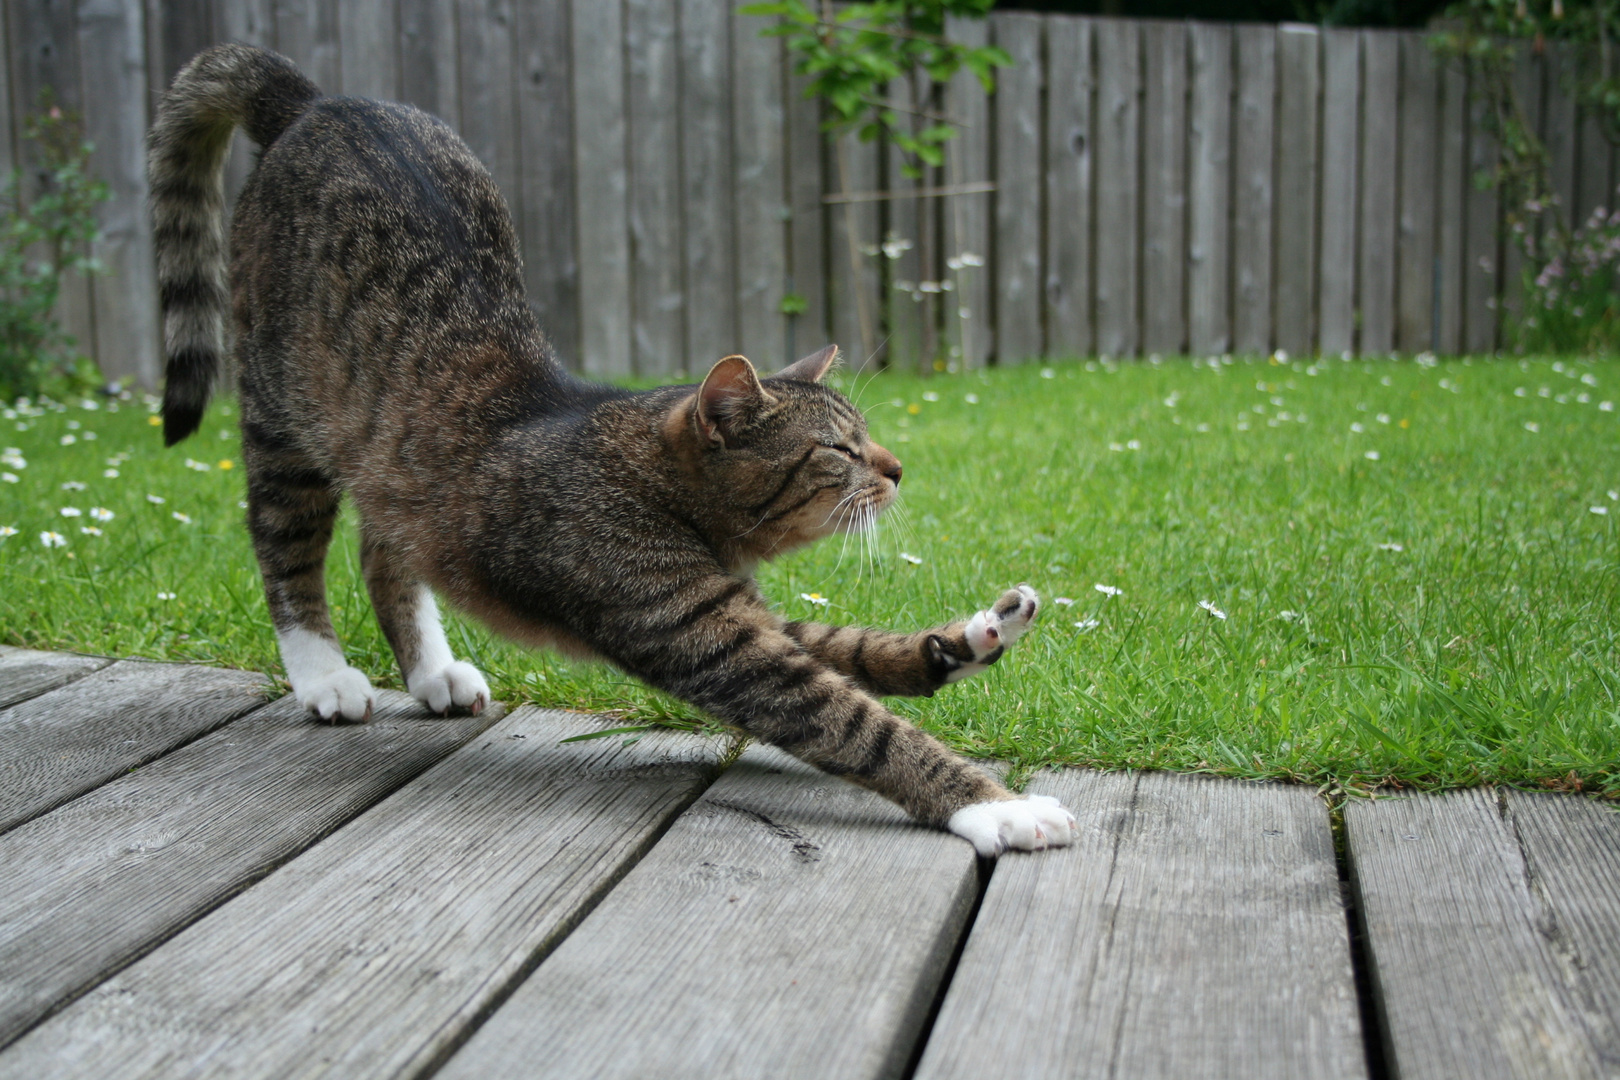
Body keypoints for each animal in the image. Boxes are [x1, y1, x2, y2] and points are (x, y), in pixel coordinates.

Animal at [149, 42, 1075, 854]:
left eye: (868, 440)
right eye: (840, 452)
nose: (897, 468)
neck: (660, 490)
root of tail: (318, 102)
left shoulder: (737, 611)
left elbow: (846, 645)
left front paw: (966, 641)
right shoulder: (703, 633)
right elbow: (856, 722)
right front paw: (995, 806)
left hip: (390, 463)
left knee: (386, 548)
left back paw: (431, 671)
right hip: (283, 420)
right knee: (285, 547)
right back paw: (323, 675)